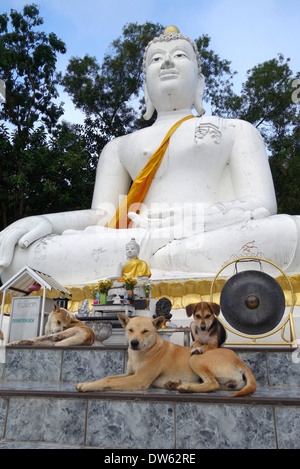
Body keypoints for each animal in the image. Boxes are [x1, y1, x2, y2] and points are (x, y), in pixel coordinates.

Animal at [76, 312, 256, 396]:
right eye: (130, 330)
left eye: (145, 331)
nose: (134, 343)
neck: (145, 351)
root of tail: (240, 361)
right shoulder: (130, 373)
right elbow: (107, 378)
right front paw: (89, 382)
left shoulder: (139, 379)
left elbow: (109, 382)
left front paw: (88, 386)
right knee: (216, 384)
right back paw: (175, 384)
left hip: (196, 358)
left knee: (213, 384)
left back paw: (186, 387)